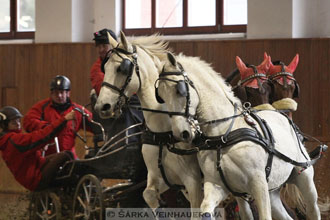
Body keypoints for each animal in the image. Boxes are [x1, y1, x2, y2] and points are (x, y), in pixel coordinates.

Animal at [94, 31, 204, 214]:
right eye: (105, 67)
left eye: (122, 68)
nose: (102, 106)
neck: (164, 132)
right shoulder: (161, 178)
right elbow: (149, 196)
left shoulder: (193, 181)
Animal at [156, 52, 320, 219]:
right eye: (160, 95)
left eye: (179, 90)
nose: (181, 132)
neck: (224, 135)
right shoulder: (216, 185)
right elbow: (206, 210)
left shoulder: (258, 184)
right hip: (273, 190)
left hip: (304, 179)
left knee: (313, 209)